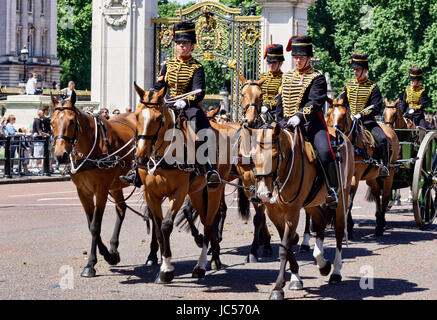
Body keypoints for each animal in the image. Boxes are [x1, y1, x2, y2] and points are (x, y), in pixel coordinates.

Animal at [51, 90, 140, 278]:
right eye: (51, 122)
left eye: (71, 121)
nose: (60, 155)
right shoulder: (83, 191)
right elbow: (90, 224)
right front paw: (109, 256)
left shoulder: (101, 190)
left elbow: (95, 225)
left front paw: (91, 264)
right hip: (116, 186)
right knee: (122, 209)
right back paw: (114, 248)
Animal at [134, 83, 235, 282]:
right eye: (136, 116)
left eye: (158, 118)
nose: (141, 157)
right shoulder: (151, 194)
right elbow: (158, 230)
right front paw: (160, 266)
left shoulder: (179, 192)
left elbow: (166, 225)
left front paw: (166, 270)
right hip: (197, 192)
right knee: (205, 220)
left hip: (214, 190)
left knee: (210, 223)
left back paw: (202, 265)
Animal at [247, 120, 352, 300]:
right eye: (253, 157)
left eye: (274, 156)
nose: (263, 194)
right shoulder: (274, 214)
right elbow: (287, 246)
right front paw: (295, 278)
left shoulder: (292, 213)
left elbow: (284, 248)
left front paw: (277, 288)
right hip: (312, 202)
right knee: (320, 220)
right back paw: (322, 263)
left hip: (341, 200)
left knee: (339, 234)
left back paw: (336, 272)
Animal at [324, 99, 398, 236]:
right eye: (328, 114)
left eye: (344, 115)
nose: (334, 137)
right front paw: (348, 224)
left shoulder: (354, 176)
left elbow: (349, 201)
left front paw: (347, 226)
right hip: (372, 177)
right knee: (376, 194)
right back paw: (379, 221)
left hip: (389, 174)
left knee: (385, 197)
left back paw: (381, 225)